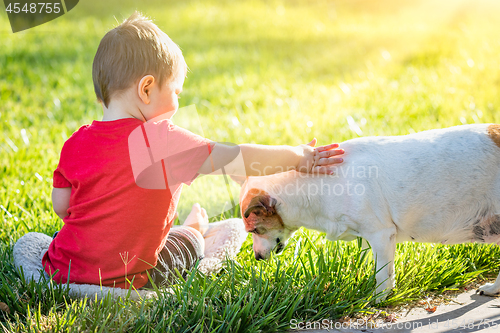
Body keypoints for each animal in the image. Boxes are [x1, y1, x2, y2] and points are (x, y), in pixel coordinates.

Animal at [238, 122, 500, 298]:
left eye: (254, 231)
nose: (257, 258)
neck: (318, 184)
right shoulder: (369, 238)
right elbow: (375, 266)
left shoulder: (381, 235)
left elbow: (382, 276)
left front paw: (377, 300)